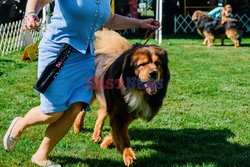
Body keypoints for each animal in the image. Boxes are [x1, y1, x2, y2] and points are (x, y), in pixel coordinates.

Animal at [72, 29, 170, 166]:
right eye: (142, 64)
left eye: (157, 64)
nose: (153, 73)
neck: (135, 89)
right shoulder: (119, 112)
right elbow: (122, 137)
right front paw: (128, 155)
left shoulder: (129, 112)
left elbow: (117, 131)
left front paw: (107, 142)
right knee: (82, 110)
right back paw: (78, 127)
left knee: (101, 113)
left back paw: (96, 135)